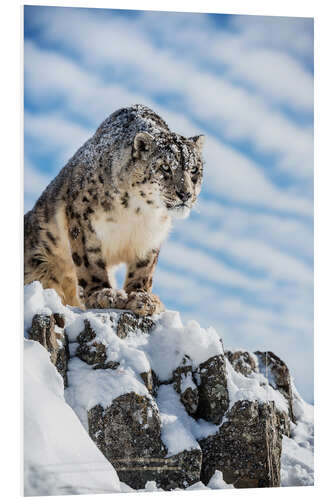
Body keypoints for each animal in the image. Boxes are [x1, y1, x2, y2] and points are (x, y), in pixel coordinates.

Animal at [24, 104, 202, 316]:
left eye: (194, 170)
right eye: (165, 167)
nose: (186, 194)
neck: (138, 213)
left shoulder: (151, 236)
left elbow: (144, 268)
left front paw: (142, 298)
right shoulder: (83, 221)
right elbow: (89, 261)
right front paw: (102, 294)